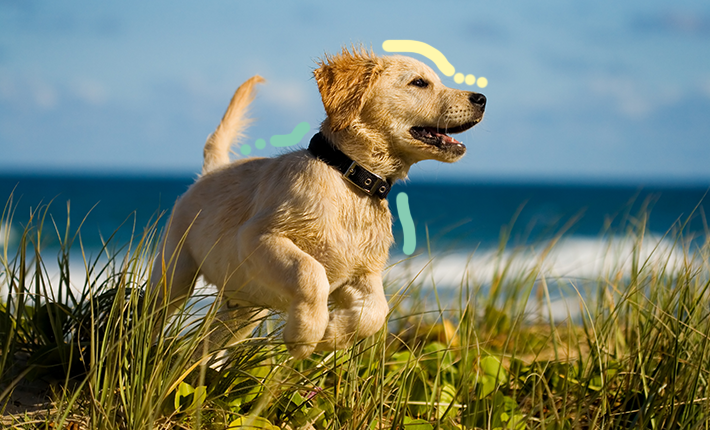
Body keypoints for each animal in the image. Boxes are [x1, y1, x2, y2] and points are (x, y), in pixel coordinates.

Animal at [148, 46, 486, 360]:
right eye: (419, 82)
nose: (481, 98)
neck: (351, 178)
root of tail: (211, 171)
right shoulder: (258, 237)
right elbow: (310, 273)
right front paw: (305, 335)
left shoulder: (362, 272)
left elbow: (376, 311)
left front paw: (333, 334)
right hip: (174, 273)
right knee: (151, 313)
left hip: (243, 310)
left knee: (202, 348)